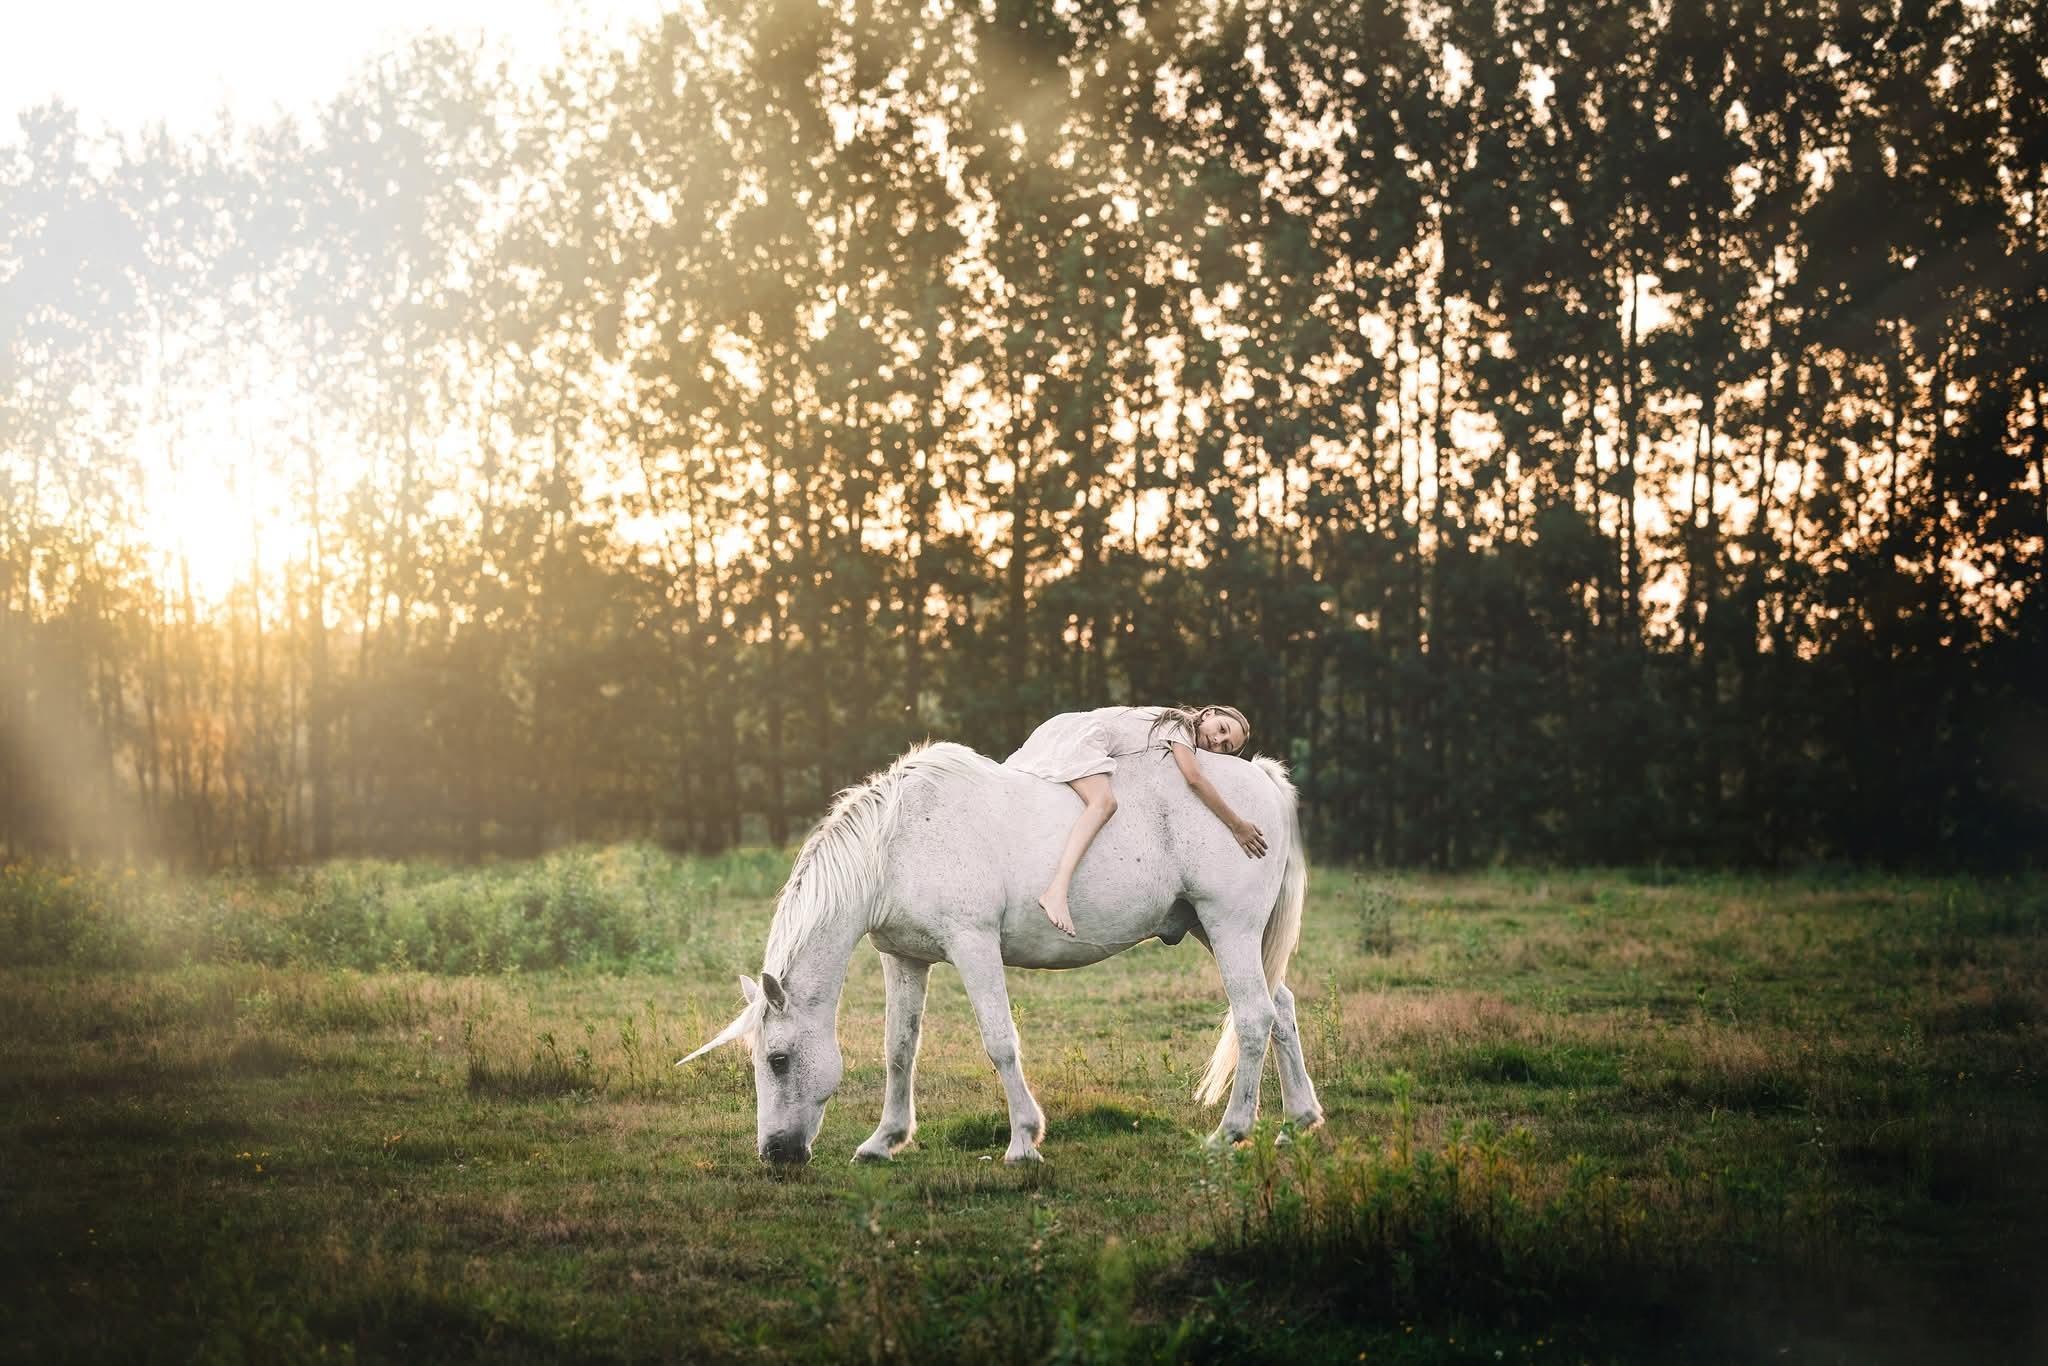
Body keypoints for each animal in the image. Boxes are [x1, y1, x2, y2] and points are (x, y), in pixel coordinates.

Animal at [677, 739, 1323, 1164]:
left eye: (778, 1060)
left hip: (1229, 927)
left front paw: (1023, 1142)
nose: (775, 1154)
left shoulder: (973, 945)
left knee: (1254, 1017)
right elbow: (898, 1050)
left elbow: (999, 1041)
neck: (898, 844)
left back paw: (1231, 1133)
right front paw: (885, 1141)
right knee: (1282, 1009)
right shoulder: (904, 959)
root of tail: (1261, 777)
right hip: (1218, 931)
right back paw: (1297, 1122)